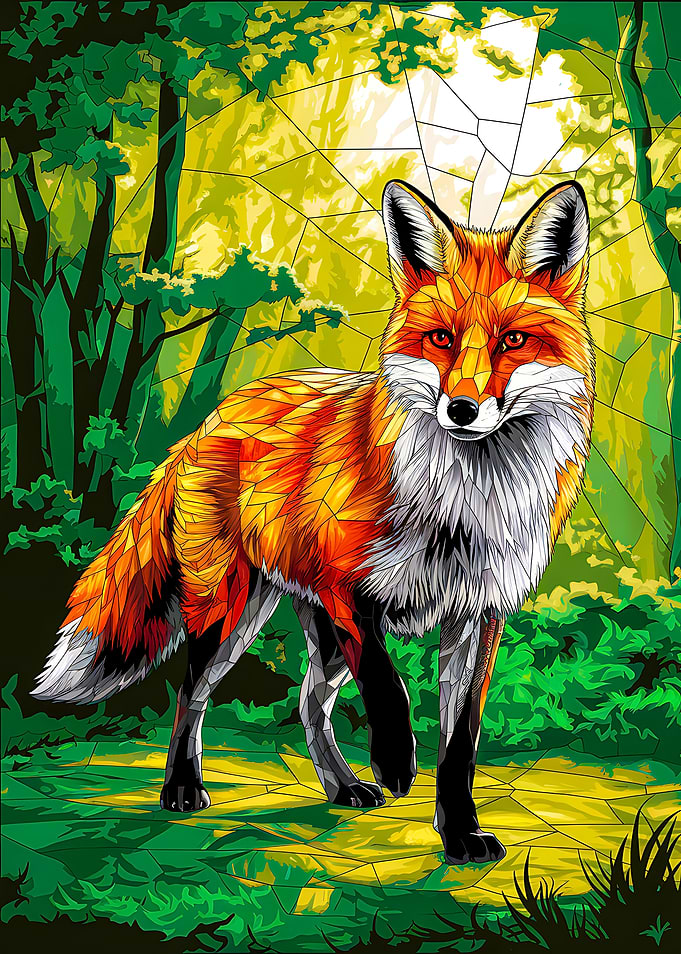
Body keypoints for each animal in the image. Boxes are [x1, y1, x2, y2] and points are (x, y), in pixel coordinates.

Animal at [33, 179, 594, 865]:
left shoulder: (479, 615)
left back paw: (342, 786)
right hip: (230, 614)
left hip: (312, 634)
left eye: (512, 341)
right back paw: (183, 789)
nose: (462, 409)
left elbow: (459, 747)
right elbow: (388, 686)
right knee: (191, 696)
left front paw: (459, 831)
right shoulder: (348, 589)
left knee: (306, 700)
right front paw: (395, 760)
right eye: (440, 339)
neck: (462, 507)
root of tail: (214, 415)